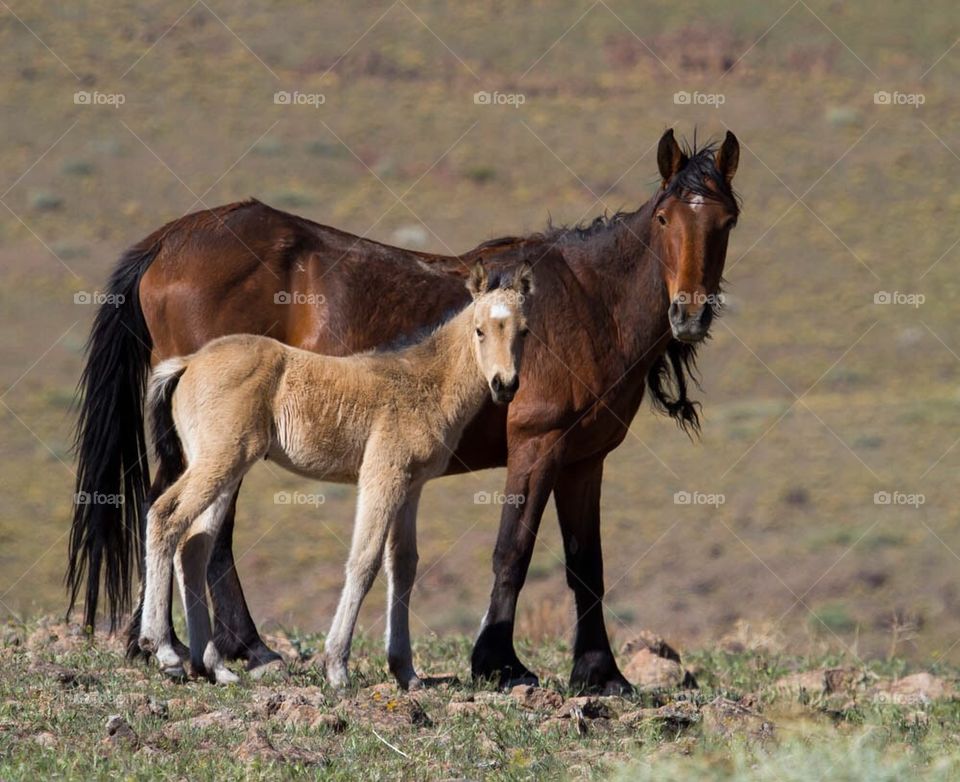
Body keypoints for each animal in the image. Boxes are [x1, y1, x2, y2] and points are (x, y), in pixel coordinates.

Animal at [138, 263, 533, 688]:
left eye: (524, 330)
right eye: (480, 329)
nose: (505, 385)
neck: (424, 380)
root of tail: (188, 363)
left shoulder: (412, 486)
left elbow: (404, 565)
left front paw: (406, 673)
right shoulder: (382, 474)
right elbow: (364, 560)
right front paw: (337, 667)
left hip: (223, 468)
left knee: (194, 542)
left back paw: (212, 666)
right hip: (220, 459)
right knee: (165, 515)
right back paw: (164, 650)